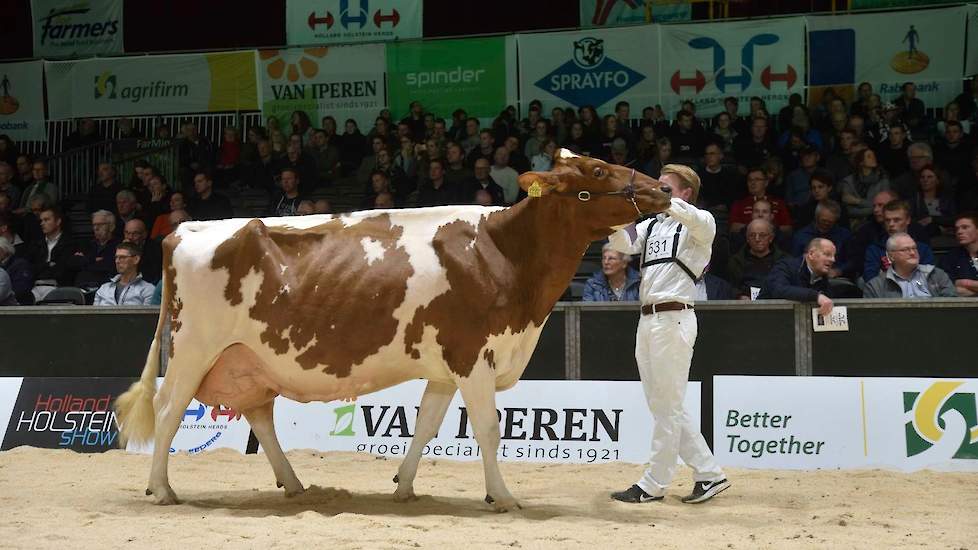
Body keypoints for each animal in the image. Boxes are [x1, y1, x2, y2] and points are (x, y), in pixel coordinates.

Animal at [112, 150, 664, 512]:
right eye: (598, 170)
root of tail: (188, 229)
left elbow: (426, 425)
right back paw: (162, 490)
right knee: (169, 409)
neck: (504, 253)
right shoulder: (473, 356)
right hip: (194, 348)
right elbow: (488, 428)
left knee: (258, 415)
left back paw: (294, 485)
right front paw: (503, 495)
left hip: (245, 357)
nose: (661, 187)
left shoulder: (445, 366)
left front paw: (403, 487)